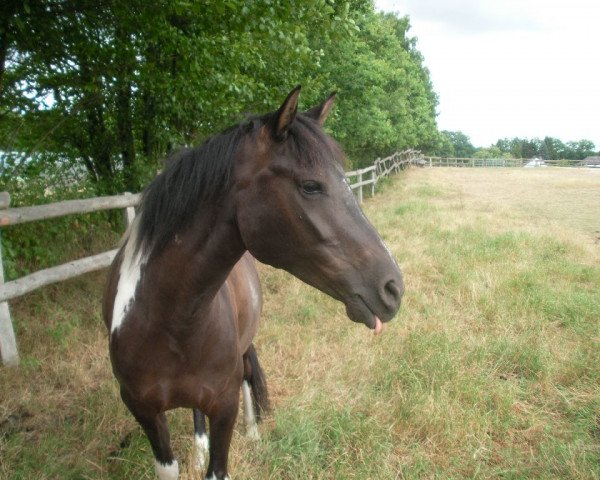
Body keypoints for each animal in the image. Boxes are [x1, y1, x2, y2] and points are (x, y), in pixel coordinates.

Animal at [102, 87, 404, 480]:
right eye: (310, 186)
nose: (393, 288)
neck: (166, 322)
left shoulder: (223, 406)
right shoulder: (144, 412)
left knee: (246, 373)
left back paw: (252, 434)